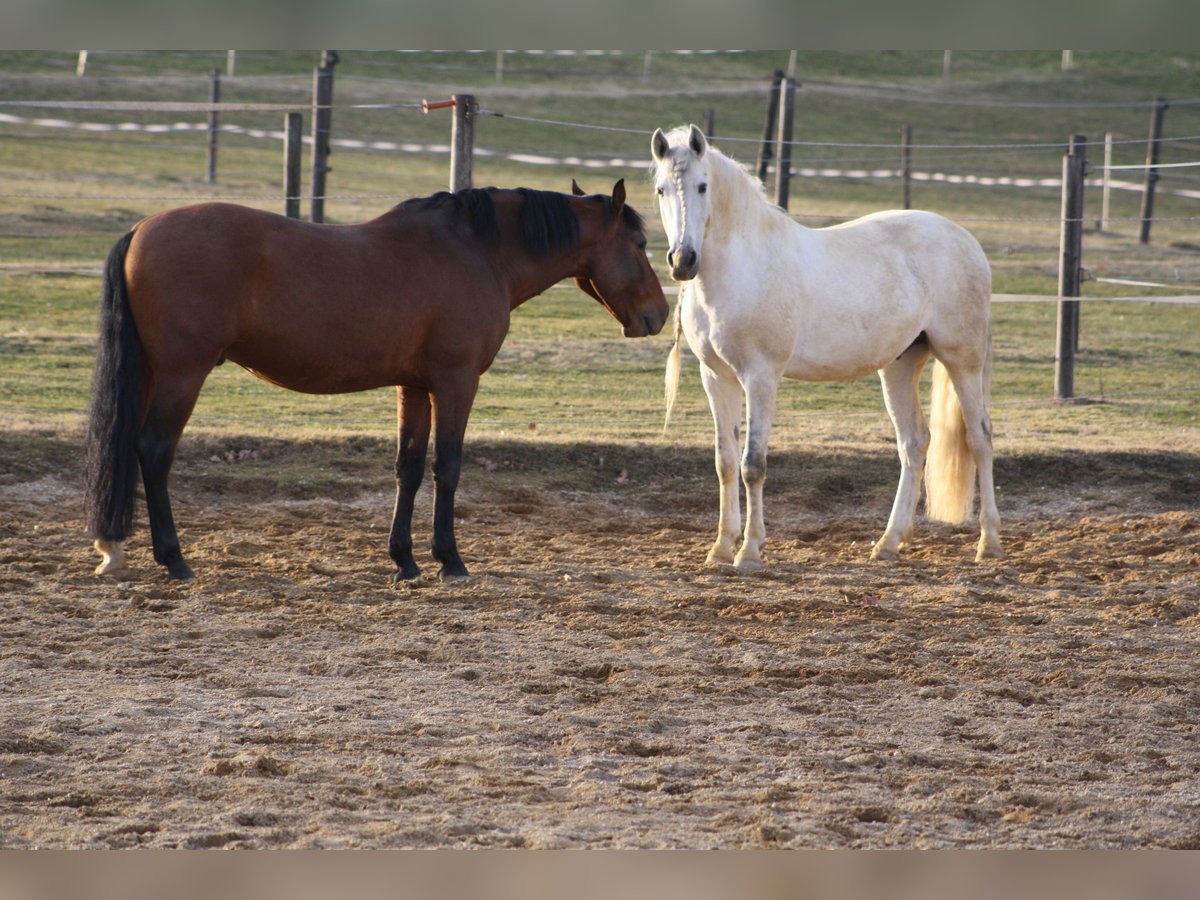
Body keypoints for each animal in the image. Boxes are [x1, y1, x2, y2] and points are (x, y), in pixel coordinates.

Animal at [84, 181, 667, 585]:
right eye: (640, 242)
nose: (659, 315)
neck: (477, 252)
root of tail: (141, 229)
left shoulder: (415, 388)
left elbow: (408, 468)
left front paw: (404, 560)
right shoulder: (455, 383)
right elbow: (448, 467)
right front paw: (450, 559)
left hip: (151, 373)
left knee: (129, 446)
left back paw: (115, 550)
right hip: (182, 374)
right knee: (153, 450)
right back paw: (174, 559)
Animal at [652, 125, 998, 571]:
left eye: (702, 186)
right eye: (660, 189)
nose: (683, 260)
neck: (742, 266)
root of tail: (968, 242)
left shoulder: (760, 377)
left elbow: (753, 465)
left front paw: (749, 551)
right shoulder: (716, 376)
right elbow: (725, 462)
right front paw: (721, 549)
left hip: (963, 361)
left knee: (979, 439)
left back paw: (989, 543)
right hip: (900, 365)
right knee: (915, 442)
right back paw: (888, 543)